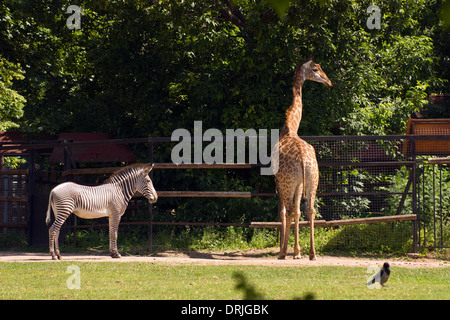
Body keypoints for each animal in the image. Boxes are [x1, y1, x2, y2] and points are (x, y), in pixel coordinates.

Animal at [272, 58, 332, 260]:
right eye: (315, 69)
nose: (329, 82)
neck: (290, 127)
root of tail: (303, 160)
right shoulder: (299, 183)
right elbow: (299, 211)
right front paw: (297, 251)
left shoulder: (278, 180)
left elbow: (284, 212)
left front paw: (289, 251)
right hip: (314, 179)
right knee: (311, 210)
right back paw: (312, 253)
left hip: (289, 182)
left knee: (289, 210)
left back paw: (283, 252)